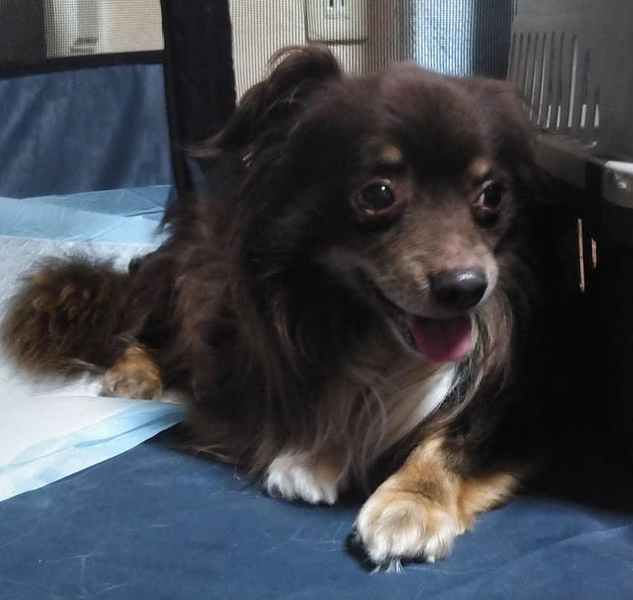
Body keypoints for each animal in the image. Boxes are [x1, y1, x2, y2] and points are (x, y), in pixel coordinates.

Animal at [2, 47, 560, 570]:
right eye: (378, 194)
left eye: (492, 195)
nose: (466, 287)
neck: (371, 333)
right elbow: (311, 401)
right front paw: (314, 454)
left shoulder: (522, 411)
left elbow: (451, 439)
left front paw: (411, 502)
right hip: (189, 285)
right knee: (144, 334)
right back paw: (135, 374)